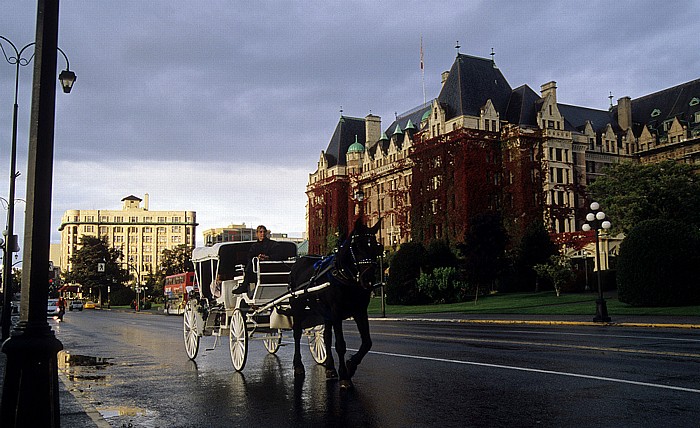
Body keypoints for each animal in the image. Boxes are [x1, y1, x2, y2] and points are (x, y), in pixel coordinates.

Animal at [290, 219, 382, 390]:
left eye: (376, 246)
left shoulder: (359, 311)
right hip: (297, 306)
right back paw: (298, 365)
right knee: (297, 333)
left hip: (325, 313)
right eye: (356, 246)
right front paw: (345, 375)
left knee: (326, 337)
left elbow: (367, 342)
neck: (344, 276)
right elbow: (340, 344)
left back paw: (330, 367)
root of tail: (298, 261)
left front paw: (351, 365)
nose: (368, 279)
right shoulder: (336, 311)